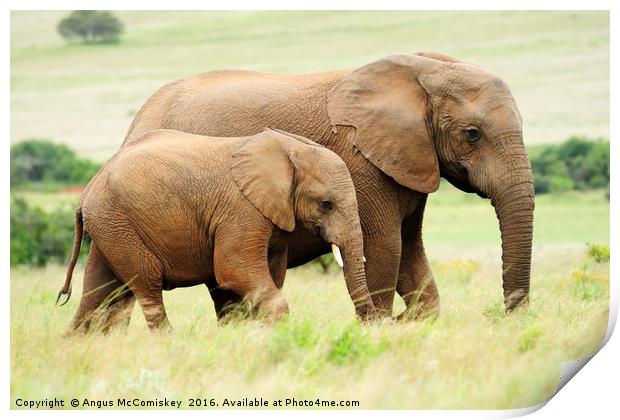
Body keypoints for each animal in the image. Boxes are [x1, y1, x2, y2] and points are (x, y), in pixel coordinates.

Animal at [58, 129, 376, 334]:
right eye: (326, 204)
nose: (369, 327)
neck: (289, 149)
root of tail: (87, 189)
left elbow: (271, 273)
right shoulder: (241, 210)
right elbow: (234, 269)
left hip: (109, 225)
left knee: (101, 289)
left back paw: (74, 343)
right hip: (118, 223)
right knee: (145, 283)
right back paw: (167, 342)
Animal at [123, 52, 536, 318]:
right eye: (472, 134)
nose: (509, 317)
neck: (428, 71)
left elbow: (411, 251)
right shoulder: (363, 162)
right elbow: (385, 247)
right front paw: (382, 329)